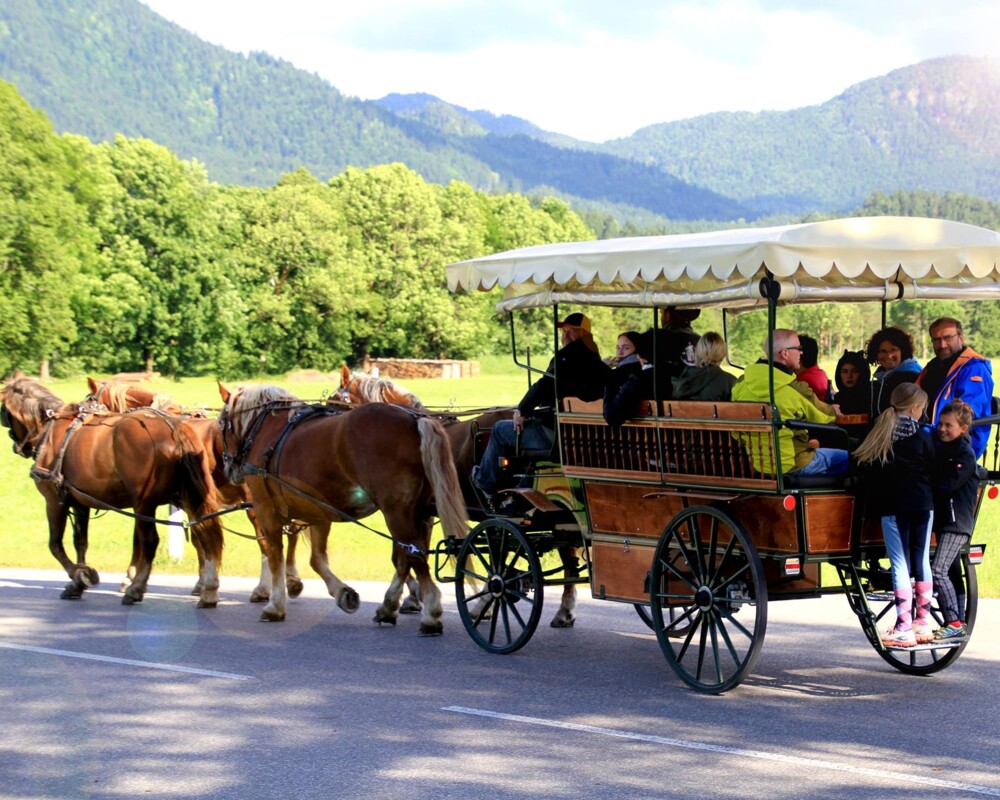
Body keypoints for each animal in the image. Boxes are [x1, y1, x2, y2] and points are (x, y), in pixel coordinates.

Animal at [0, 378, 223, 604]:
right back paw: (208, 588)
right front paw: (79, 580)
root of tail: (173, 427)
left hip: (145, 502)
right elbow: (81, 542)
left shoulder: (54, 501)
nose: (17, 445)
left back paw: (137, 589)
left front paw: (79, 575)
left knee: (152, 541)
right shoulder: (81, 502)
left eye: (4, 412)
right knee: (205, 534)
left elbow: (55, 544)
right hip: (185, 499)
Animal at [84, 378, 304, 604]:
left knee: (268, 541)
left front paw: (130, 577)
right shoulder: (189, 501)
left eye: (92, 401)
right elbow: (200, 538)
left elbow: (147, 538)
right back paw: (291, 580)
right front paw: (203, 582)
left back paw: (264, 588)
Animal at [217, 384, 466, 636]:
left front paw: (275, 605)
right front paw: (342, 593)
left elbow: (276, 555)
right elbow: (317, 559)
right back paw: (389, 608)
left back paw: (430, 613)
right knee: (406, 558)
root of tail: (414, 420)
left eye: (221, 423)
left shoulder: (266, 509)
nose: (229, 469)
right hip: (418, 513)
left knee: (414, 556)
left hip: (396, 512)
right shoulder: (316, 511)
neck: (269, 429)